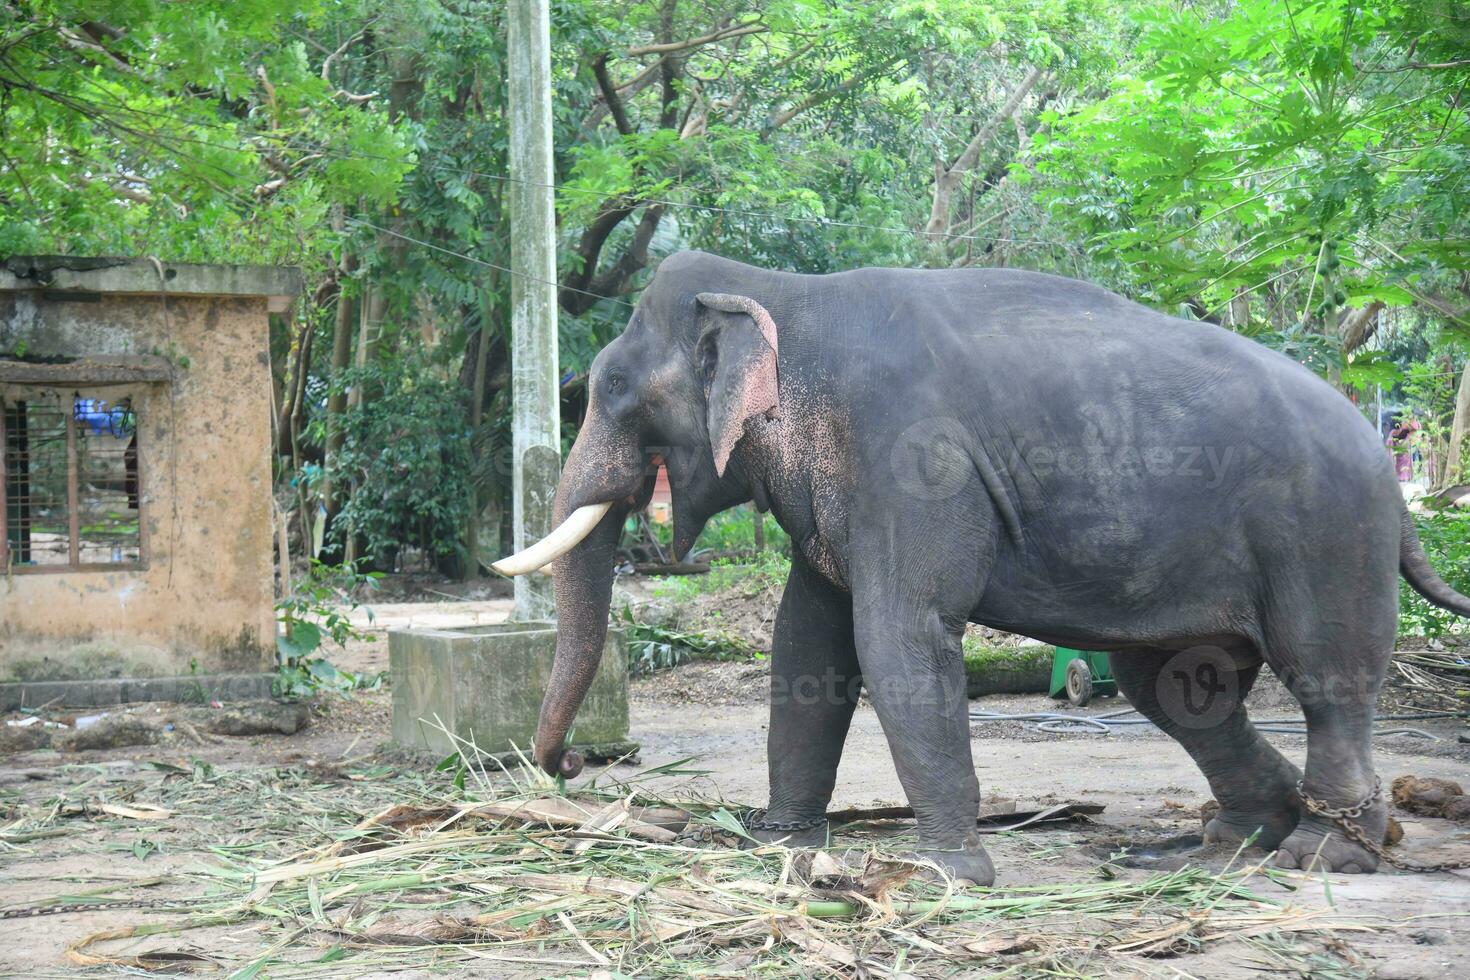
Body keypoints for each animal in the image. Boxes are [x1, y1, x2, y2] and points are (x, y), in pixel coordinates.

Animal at [496, 249, 1470, 887]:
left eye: (613, 389)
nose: (570, 766)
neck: (786, 297)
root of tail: (1389, 477)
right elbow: (807, 644)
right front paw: (781, 847)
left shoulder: (912, 460)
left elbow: (901, 636)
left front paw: (946, 874)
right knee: (1178, 688)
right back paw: (1221, 843)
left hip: (1325, 538)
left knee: (1326, 680)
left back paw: (1323, 853)